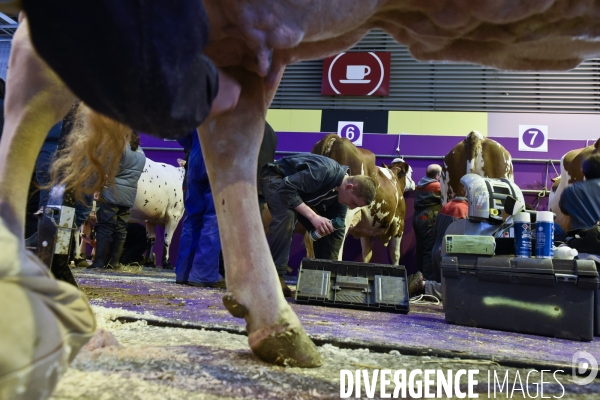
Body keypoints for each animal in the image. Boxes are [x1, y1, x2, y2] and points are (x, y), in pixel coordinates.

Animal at [312, 134, 414, 266]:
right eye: (411, 172)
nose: (414, 184)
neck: (394, 178)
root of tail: (338, 139)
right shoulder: (399, 222)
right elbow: (395, 254)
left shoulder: (365, 228)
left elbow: (367, 254)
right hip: (344, 217)